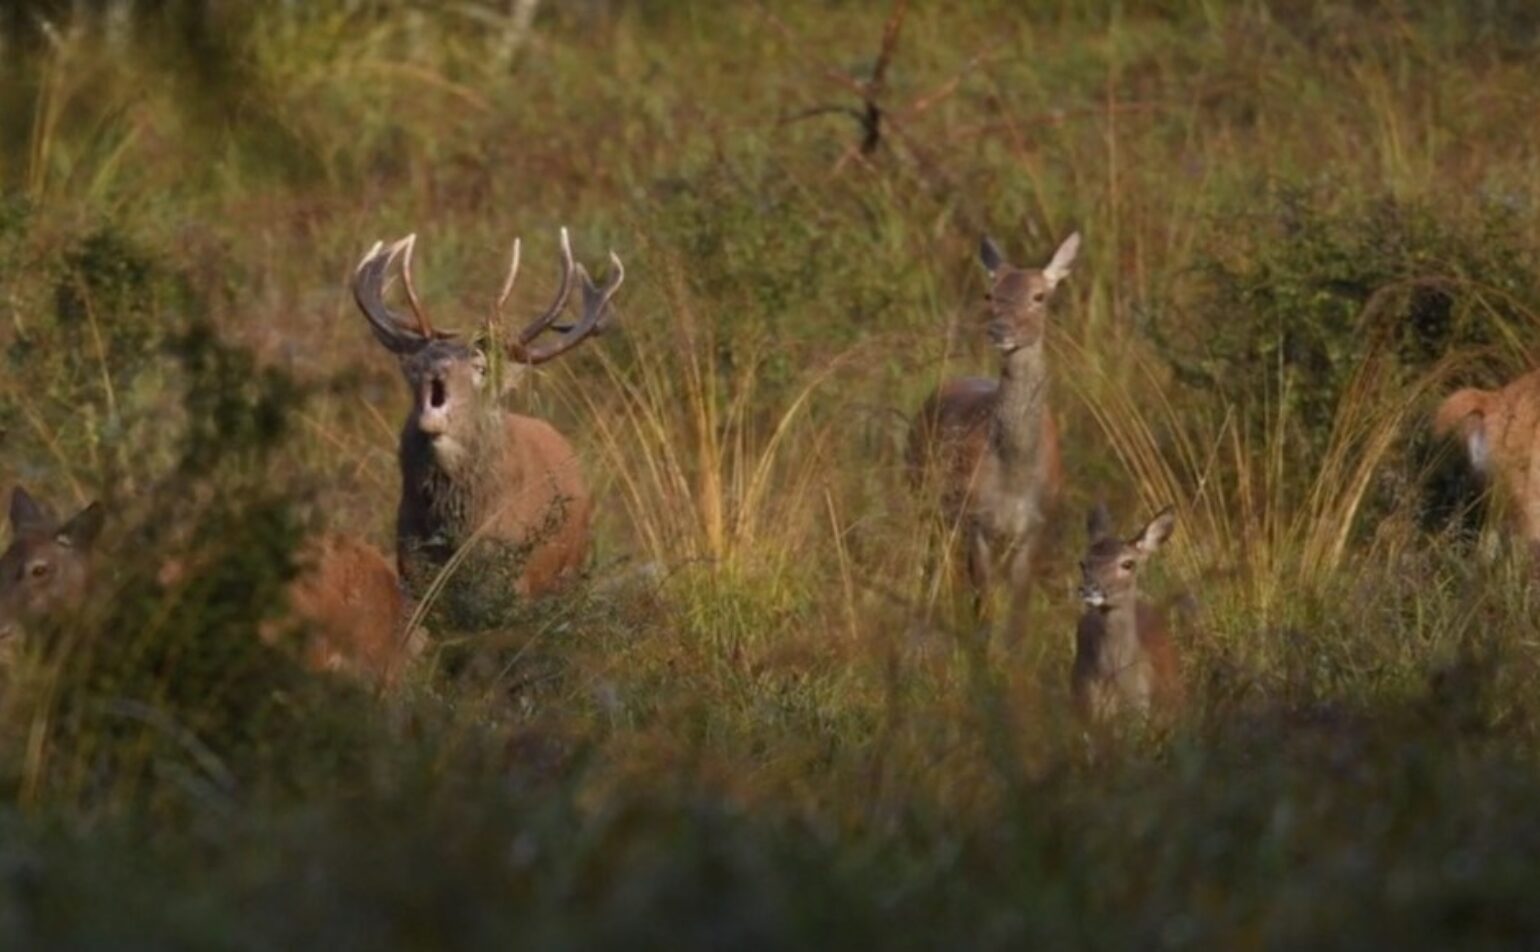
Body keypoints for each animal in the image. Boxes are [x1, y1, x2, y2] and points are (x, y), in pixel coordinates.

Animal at [354, 229, 625, 600]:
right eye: (416, 364)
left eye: (480, 367)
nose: (436, 366)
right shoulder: (411, 570)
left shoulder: (514, 577)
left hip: (570, 568)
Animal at [905, 231, 1078, 631]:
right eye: (991, 294)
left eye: (1039, 296)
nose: (1000, 330)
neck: (1014, 472)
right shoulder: (978, 520)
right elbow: (982, 603)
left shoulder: (1036, 526)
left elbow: (1018, 609)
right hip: (922, 494)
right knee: (926, 563)